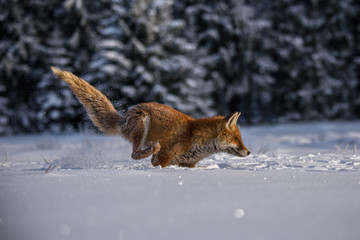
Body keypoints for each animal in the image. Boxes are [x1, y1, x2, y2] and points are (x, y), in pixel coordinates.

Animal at [50, 66, 250, 168]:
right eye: (236, 138)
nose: (249, 152)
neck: (196, 141)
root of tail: (126, 115)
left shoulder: (187, 164)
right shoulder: (161, 159)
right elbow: (155, 162)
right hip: (143, 121)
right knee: (134, 154)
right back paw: (151, 148)